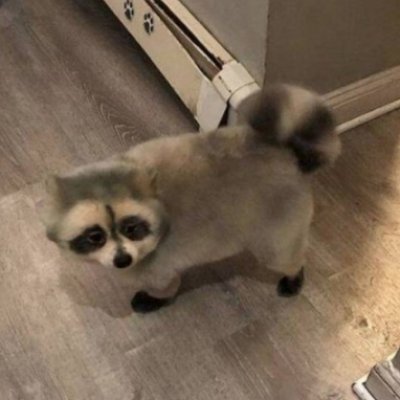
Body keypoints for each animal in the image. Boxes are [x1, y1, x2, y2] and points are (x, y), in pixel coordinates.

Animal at [42, 85, 341, 313]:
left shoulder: (159, 268)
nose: (122, 260)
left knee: (288, 258)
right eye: (95, 237)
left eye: (132, 228)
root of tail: (287, 156)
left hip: (275, 239)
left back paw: (294, 277)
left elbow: (165, 286)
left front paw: (153, 300)